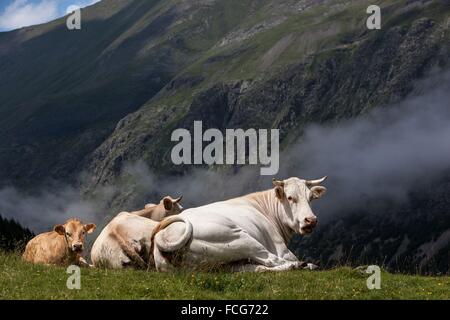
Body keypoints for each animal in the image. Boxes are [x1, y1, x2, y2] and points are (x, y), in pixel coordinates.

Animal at [152, 176, 326, 272]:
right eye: (290, 197)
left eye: (311, 198)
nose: (311, 220)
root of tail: (165, 233)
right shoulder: (280, 247)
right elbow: (286, 256)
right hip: (238, 238)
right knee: (272, 260)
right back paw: (304, 265)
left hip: (223, 263)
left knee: (257, 268)